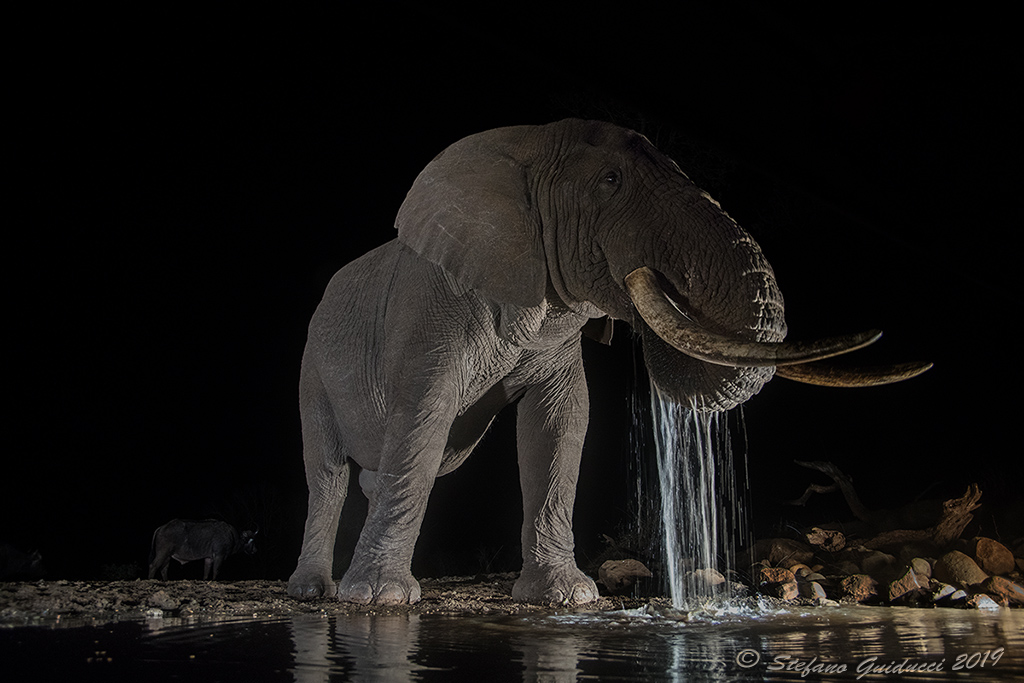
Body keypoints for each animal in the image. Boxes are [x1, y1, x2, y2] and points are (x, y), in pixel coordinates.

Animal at [286, 120, 929, 606]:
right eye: (610, 181)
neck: (522, 143)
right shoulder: (432, 307)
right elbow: (424, 414)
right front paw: (379, 601)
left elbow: (560, 422)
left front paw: (567, 598)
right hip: (313, 365)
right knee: (329, 471)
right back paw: (314, 592)